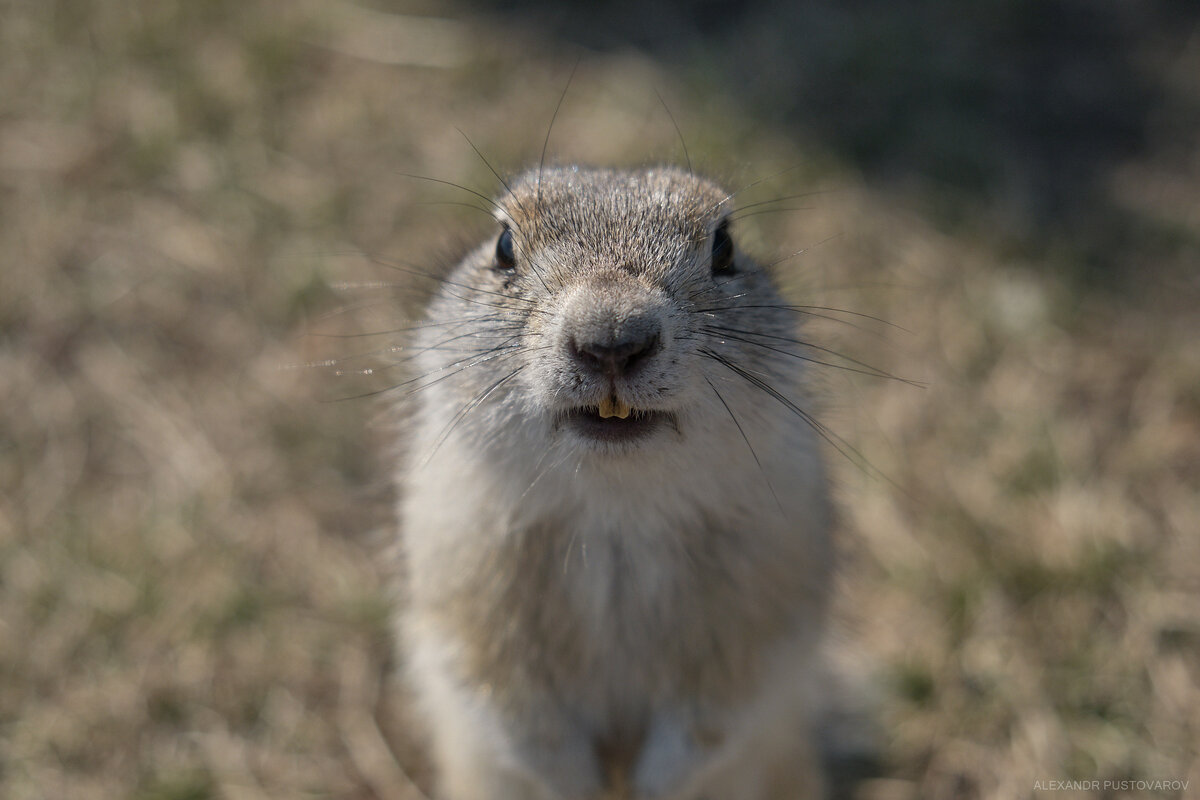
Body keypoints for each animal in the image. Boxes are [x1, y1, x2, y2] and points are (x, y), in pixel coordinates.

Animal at [393, 165, 835, 796]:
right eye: (502, 247)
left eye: (725, 247)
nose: (611, 339)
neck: (615, 507)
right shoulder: (466, 588)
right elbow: (513, 709)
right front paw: (575, 784)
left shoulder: (769, 597)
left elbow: (719, 711)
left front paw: (655, 786)